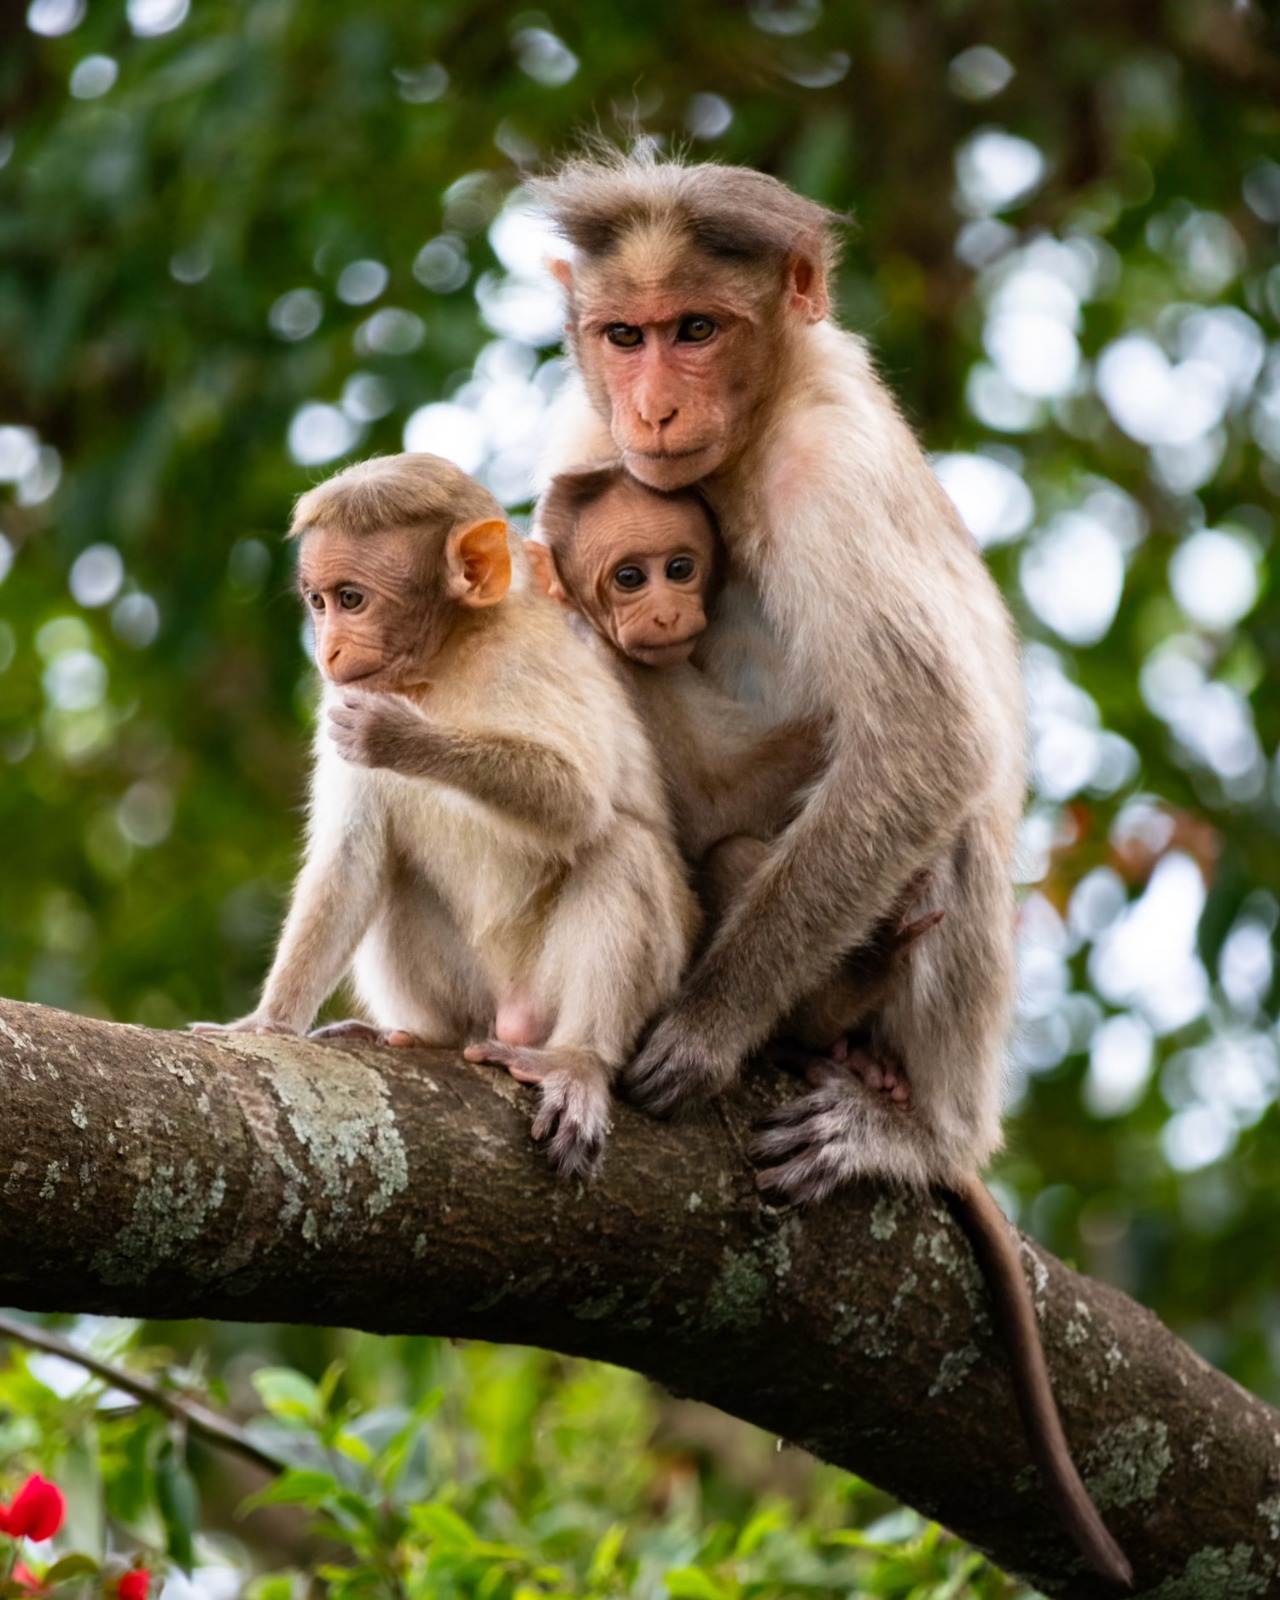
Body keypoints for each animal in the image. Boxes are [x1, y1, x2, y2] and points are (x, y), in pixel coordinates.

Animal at [192, 451, 699, 1181]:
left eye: (352, 599)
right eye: (318, 602)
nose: (329, 650)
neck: (445, 661)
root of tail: (510, 1018)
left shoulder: (526, 659)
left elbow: (578, 800)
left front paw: (400, 737)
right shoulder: (338, 699)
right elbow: (349, 858)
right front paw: (269, 1023)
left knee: (620, 847)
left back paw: (577, 1060)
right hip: (473, 997)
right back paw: (423, 1036)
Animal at [527, 151, 1131, 1587]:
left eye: (697, 328)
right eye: (624, 335)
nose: (655, 399)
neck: (745, 450)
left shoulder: (832, 472)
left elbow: (931, 736)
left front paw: (707, 1025)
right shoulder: (582, 448)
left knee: (944, 823)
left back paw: (909, 1127)